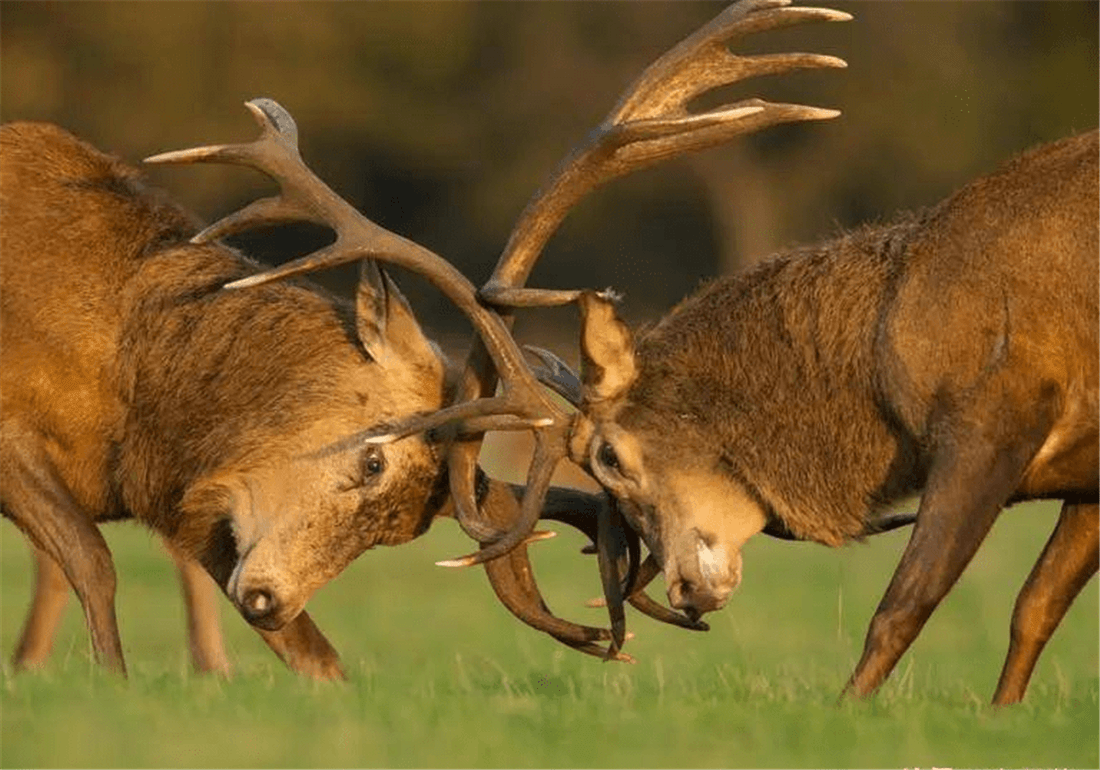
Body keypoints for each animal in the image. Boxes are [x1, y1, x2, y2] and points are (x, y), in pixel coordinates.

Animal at [225, 0, 1100, 704]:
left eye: (608, 455)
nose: (685, 589)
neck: (897, 353)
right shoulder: (1080, 476)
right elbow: (1033, 612)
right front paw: (1003, 718)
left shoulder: (994, 414)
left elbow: (903, 606)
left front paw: (846, 714)